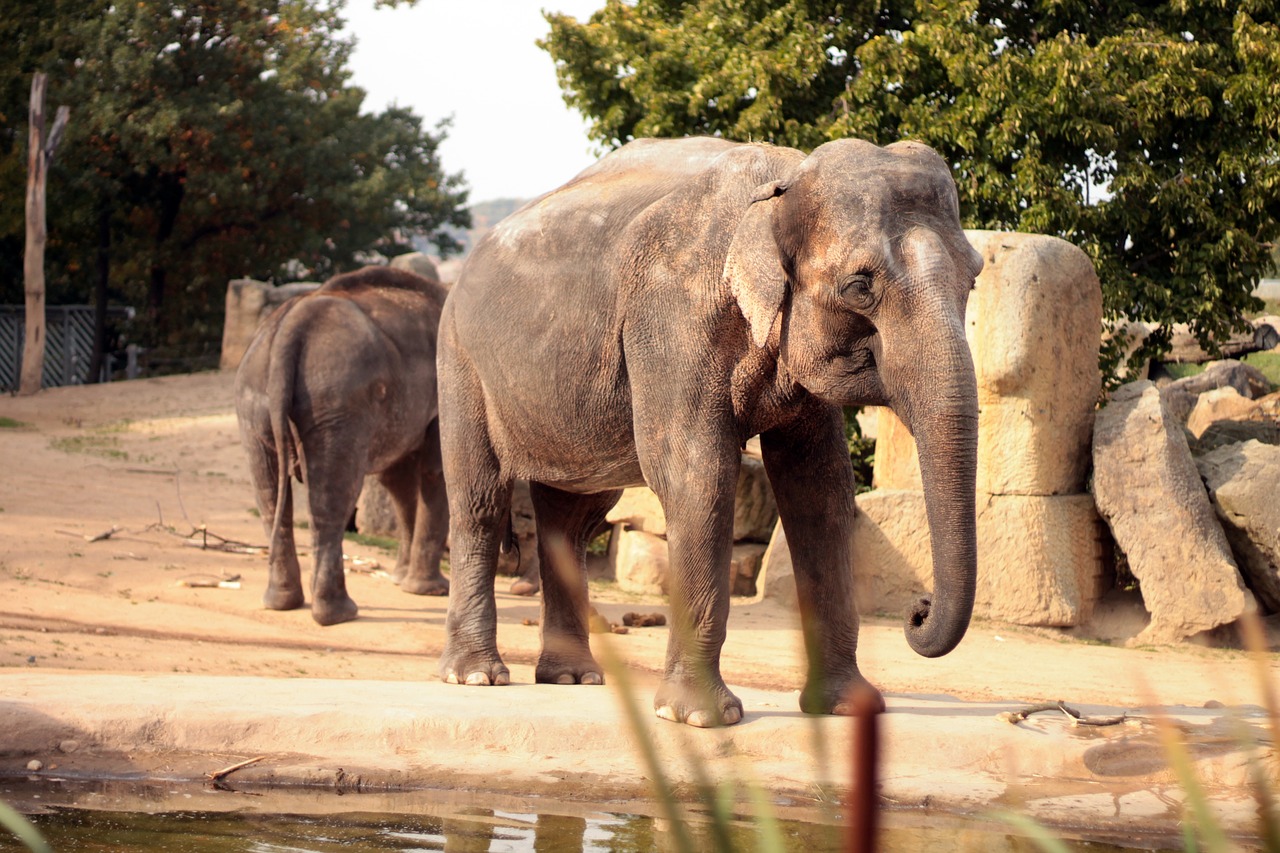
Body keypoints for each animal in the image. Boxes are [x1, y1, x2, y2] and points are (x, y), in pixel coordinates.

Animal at [238, 262, 453, 622]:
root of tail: (289, 327)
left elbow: (397, 480)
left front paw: (401, 580)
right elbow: (434, 473)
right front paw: (431, 590)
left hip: (257, 403)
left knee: (267, 492)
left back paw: (282, 603)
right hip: (337, 399)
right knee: (333, 493)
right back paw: (338, 613)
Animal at [435, 137, 983, 722]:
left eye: (974, 277)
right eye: (860, 285)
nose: (917, 610)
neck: (783, 181)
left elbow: (821, 489)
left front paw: (848, 709)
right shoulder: (671, 320)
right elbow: (699, 476)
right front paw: (698, 718)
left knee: (574, 516)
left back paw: (573, 678)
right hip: (459, 360)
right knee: (478, 500)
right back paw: (475, 676)